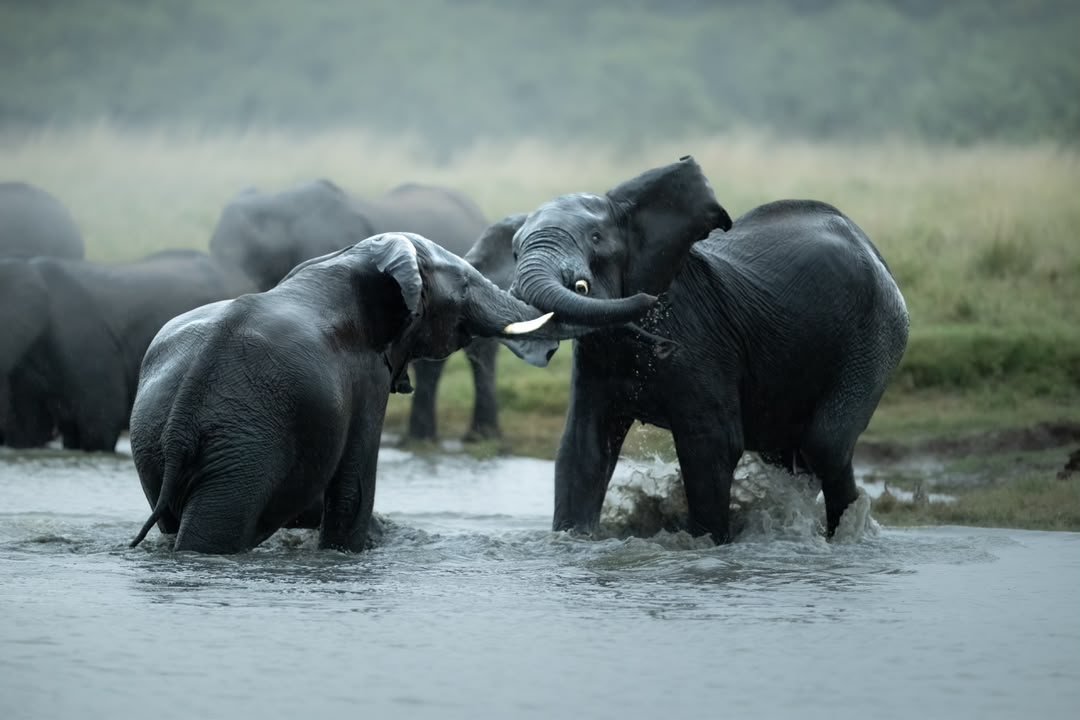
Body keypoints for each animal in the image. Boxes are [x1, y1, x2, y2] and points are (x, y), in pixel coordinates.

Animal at [128, 232, 566, 554]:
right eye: (466, 282)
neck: (344, 259)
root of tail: (183, 416)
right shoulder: (366, 377)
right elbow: (354, 489)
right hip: (242, 448)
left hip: (154, 439)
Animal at [486, 155, 909, 542]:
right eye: (515, 251)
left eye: (595, 239)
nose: (662, 345)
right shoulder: (595, 361)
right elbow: (582, 449)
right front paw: (572, 541)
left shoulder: (702, 342)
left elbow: (711, 444)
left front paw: (705, 544)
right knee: (787, 454)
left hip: (877, 333)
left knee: (826, 445)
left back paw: (849, 537)